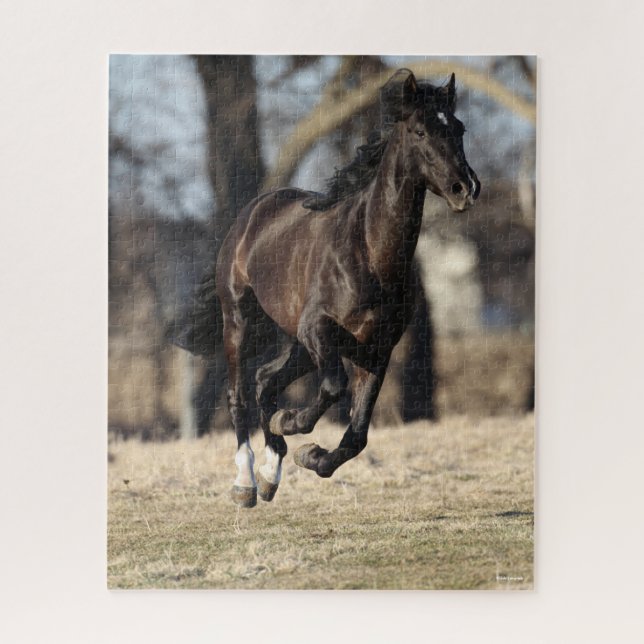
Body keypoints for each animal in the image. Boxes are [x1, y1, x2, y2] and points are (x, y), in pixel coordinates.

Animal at [214, 68, 480, 507]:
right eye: (421, 131)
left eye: (458, 128)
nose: (466, 188)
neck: (369, 253)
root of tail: (253, 212)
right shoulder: (318, 329)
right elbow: (334, 387)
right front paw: (292, 423)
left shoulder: (376, 348)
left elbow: (357, 434)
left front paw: (311, 455)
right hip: (242, 321)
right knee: (239, 395)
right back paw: (246, 484)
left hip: (299, 344)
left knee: (265, 380)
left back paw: (270, 475)